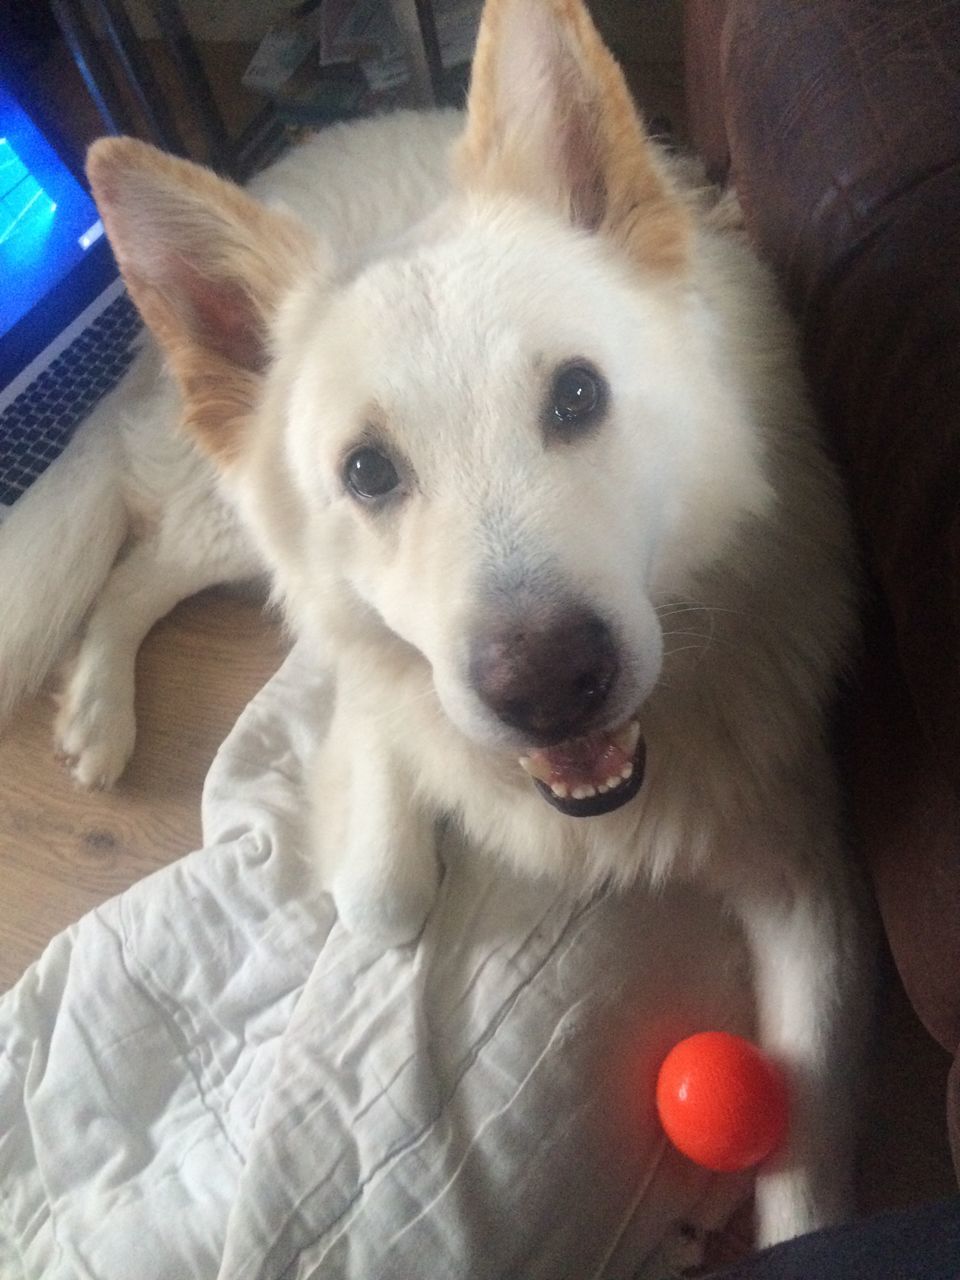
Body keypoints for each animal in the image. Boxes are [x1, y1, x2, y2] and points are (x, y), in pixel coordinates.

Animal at [1, 0, 870, 1249]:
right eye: (368, 470)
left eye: (577, 395)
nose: (548, 683)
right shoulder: (370, 691)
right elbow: (385, 892)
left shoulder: (807, 876)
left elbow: (809, 1165)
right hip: (234, 518)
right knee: (136, 545)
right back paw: (98, 707)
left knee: (138, 560)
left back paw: (95, 707)